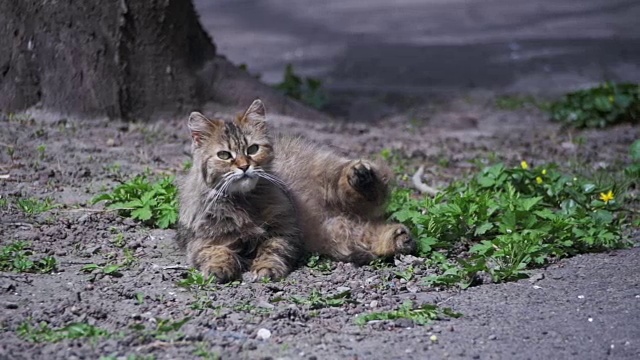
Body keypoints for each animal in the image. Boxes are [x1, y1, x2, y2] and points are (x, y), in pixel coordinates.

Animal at [175, 100, 416, 282]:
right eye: (224, 155)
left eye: (253, 149)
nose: (244, 166)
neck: (245, 202)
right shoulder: (205, 241)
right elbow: (217, 253)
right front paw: (220, 270)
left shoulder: (283, 232)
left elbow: (271, 252)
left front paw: (266, 270)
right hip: (336, 232)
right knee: (370, 230)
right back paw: (399, 238)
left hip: (334, 183)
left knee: (374, 187)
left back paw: (361, 176)